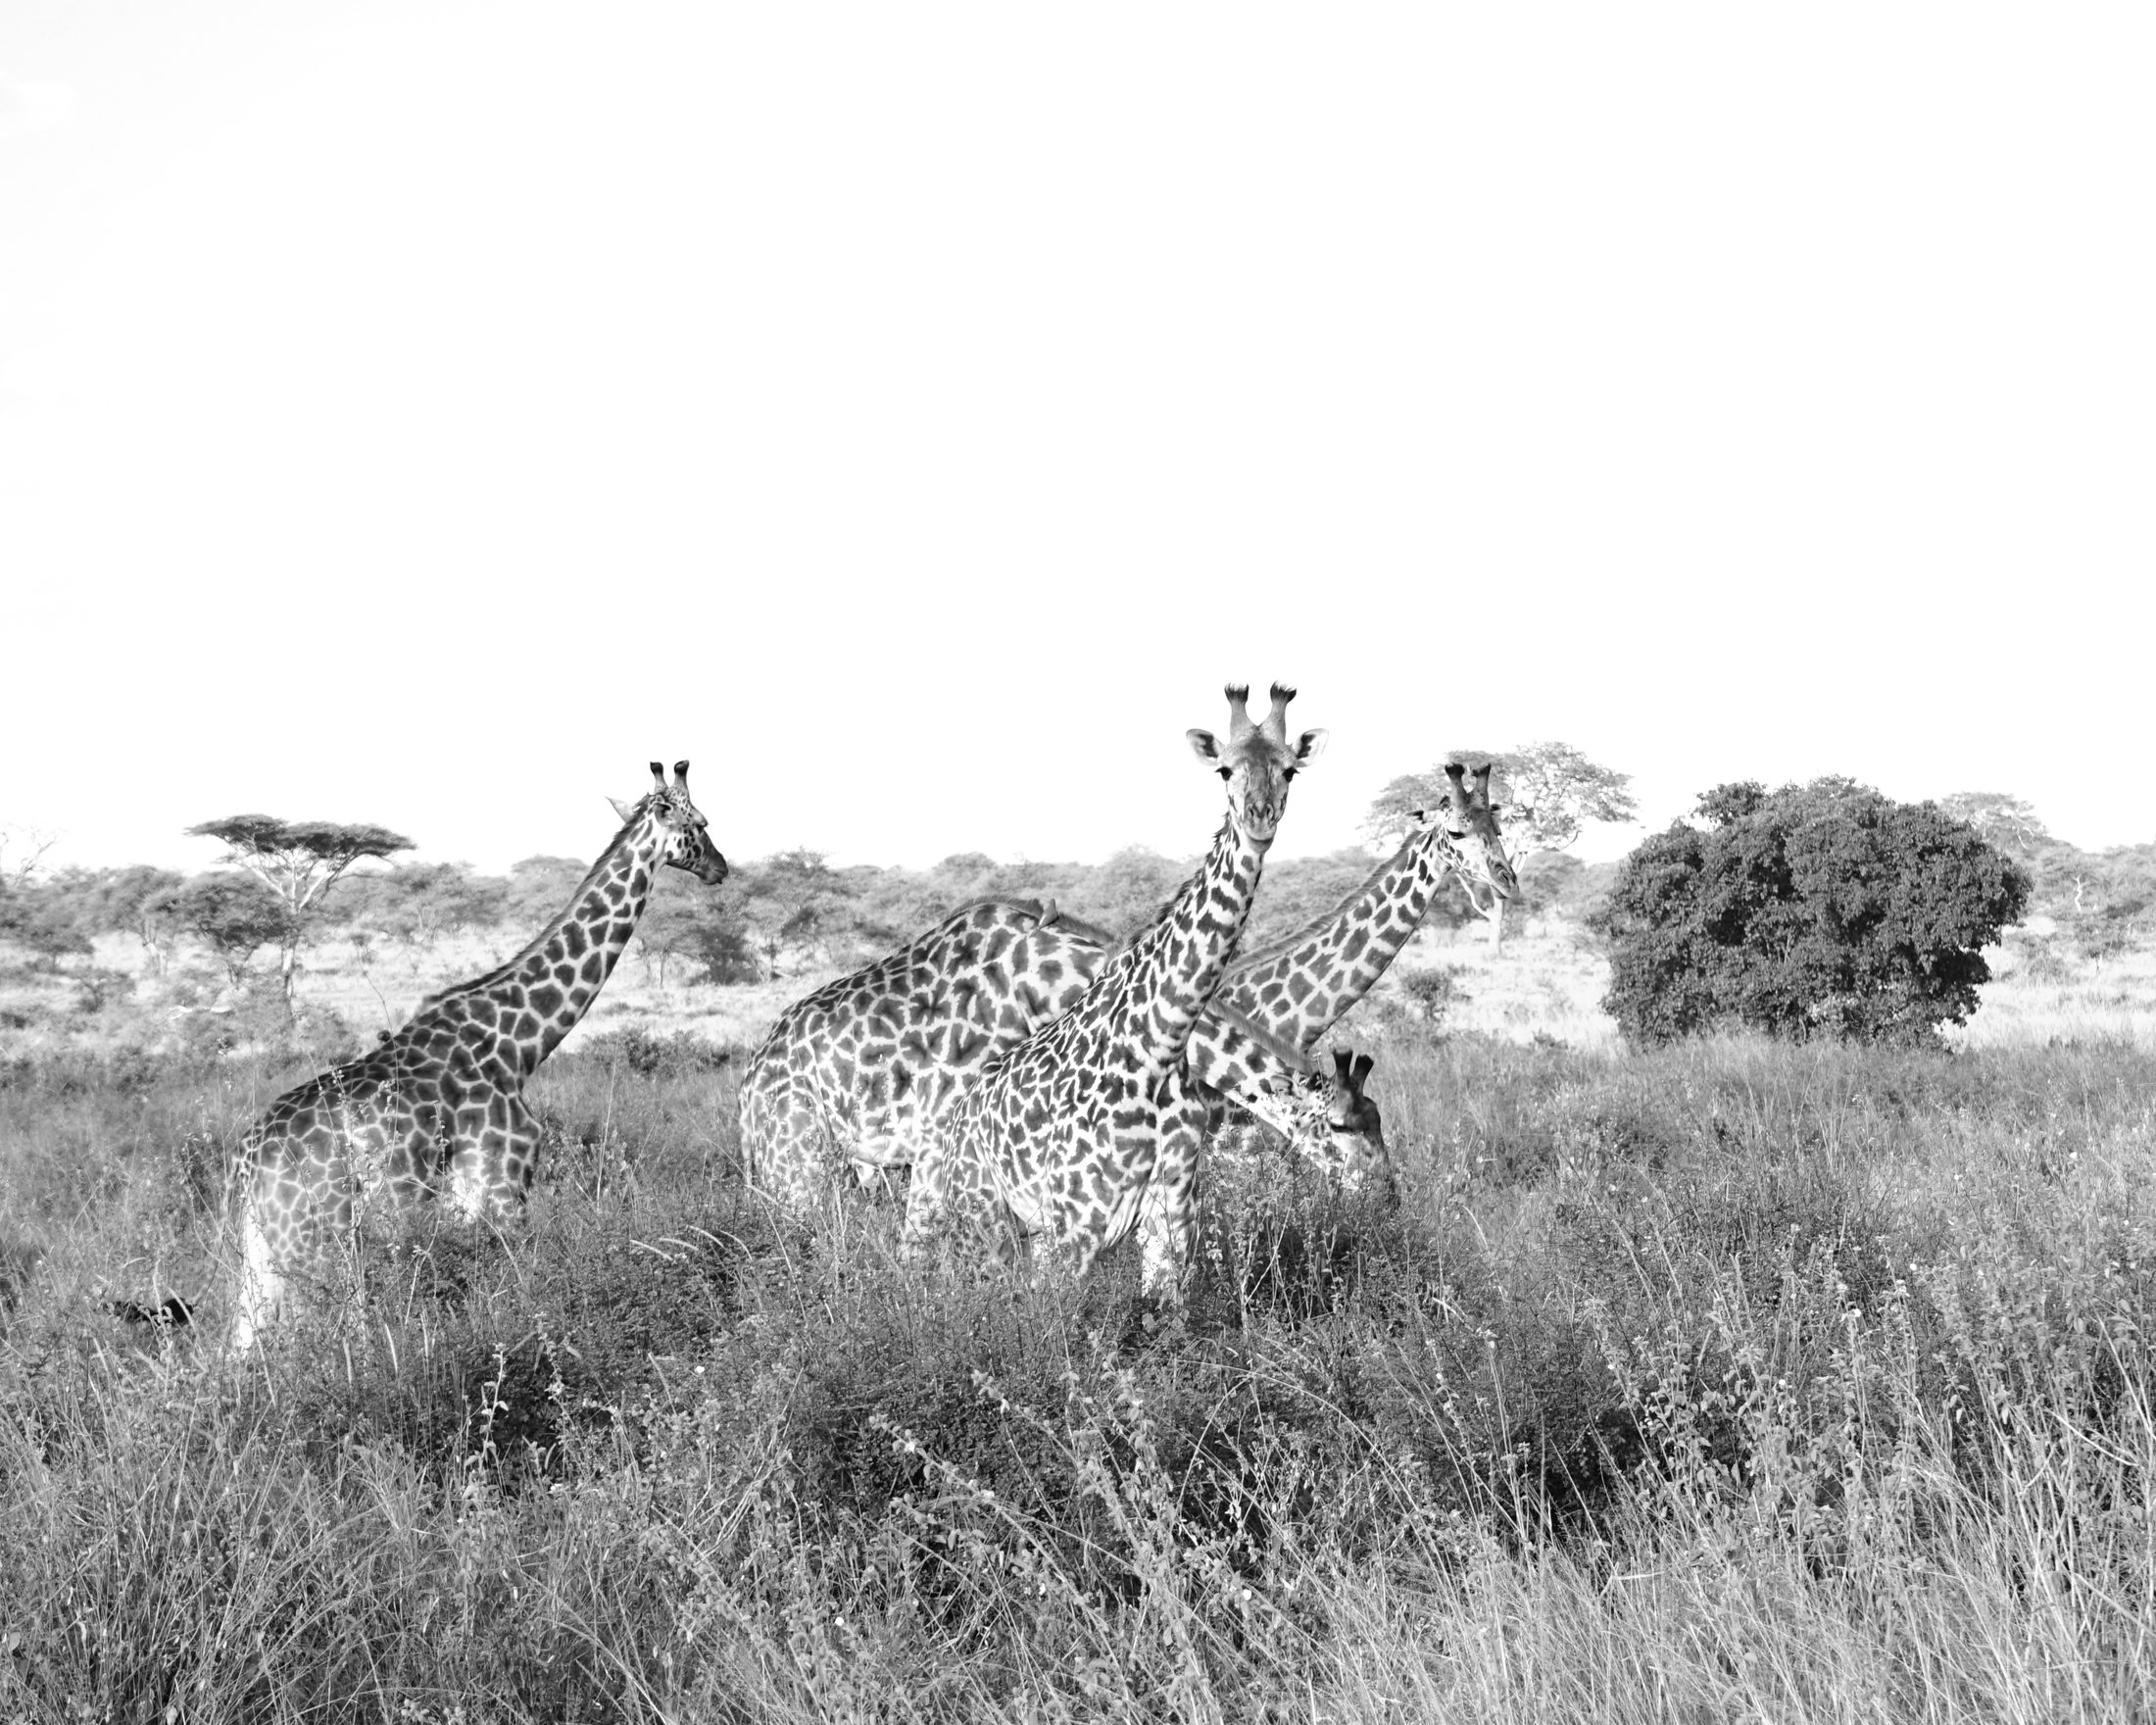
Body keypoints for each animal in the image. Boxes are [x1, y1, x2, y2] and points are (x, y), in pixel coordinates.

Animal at [229, 761, 727, 1350]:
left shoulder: (469, 1196)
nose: (721, 867)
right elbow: (518, 1286)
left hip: (265, 1246)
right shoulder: (502, 1180)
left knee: (242, 1344)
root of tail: (247, 1158)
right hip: (313, 1239)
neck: (518, 1042)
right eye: (701, 823)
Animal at [902, 684, 1323, 1295]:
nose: (1259, 818)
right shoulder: (1075, 1225)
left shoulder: (1173, 1219)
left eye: (1289, 770)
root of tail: (960, 1119)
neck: (1161, 1042)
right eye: (1223, 769)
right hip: (983, 1216)